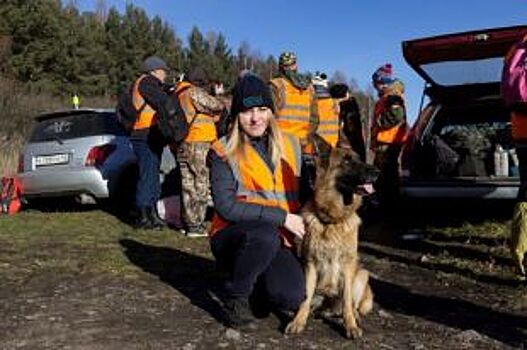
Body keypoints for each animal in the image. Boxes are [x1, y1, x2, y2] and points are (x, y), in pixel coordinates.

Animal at [286, 146, 382, 338]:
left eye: (359, 159)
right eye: (347, 161)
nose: (377, 172)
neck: (332, 220)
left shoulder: (347, 265)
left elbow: (347, 302)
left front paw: (351, 326)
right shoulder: (310, 265)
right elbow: (305, 298)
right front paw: (298, 321)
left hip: (361, 275)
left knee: (352, 305)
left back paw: (353, 317)